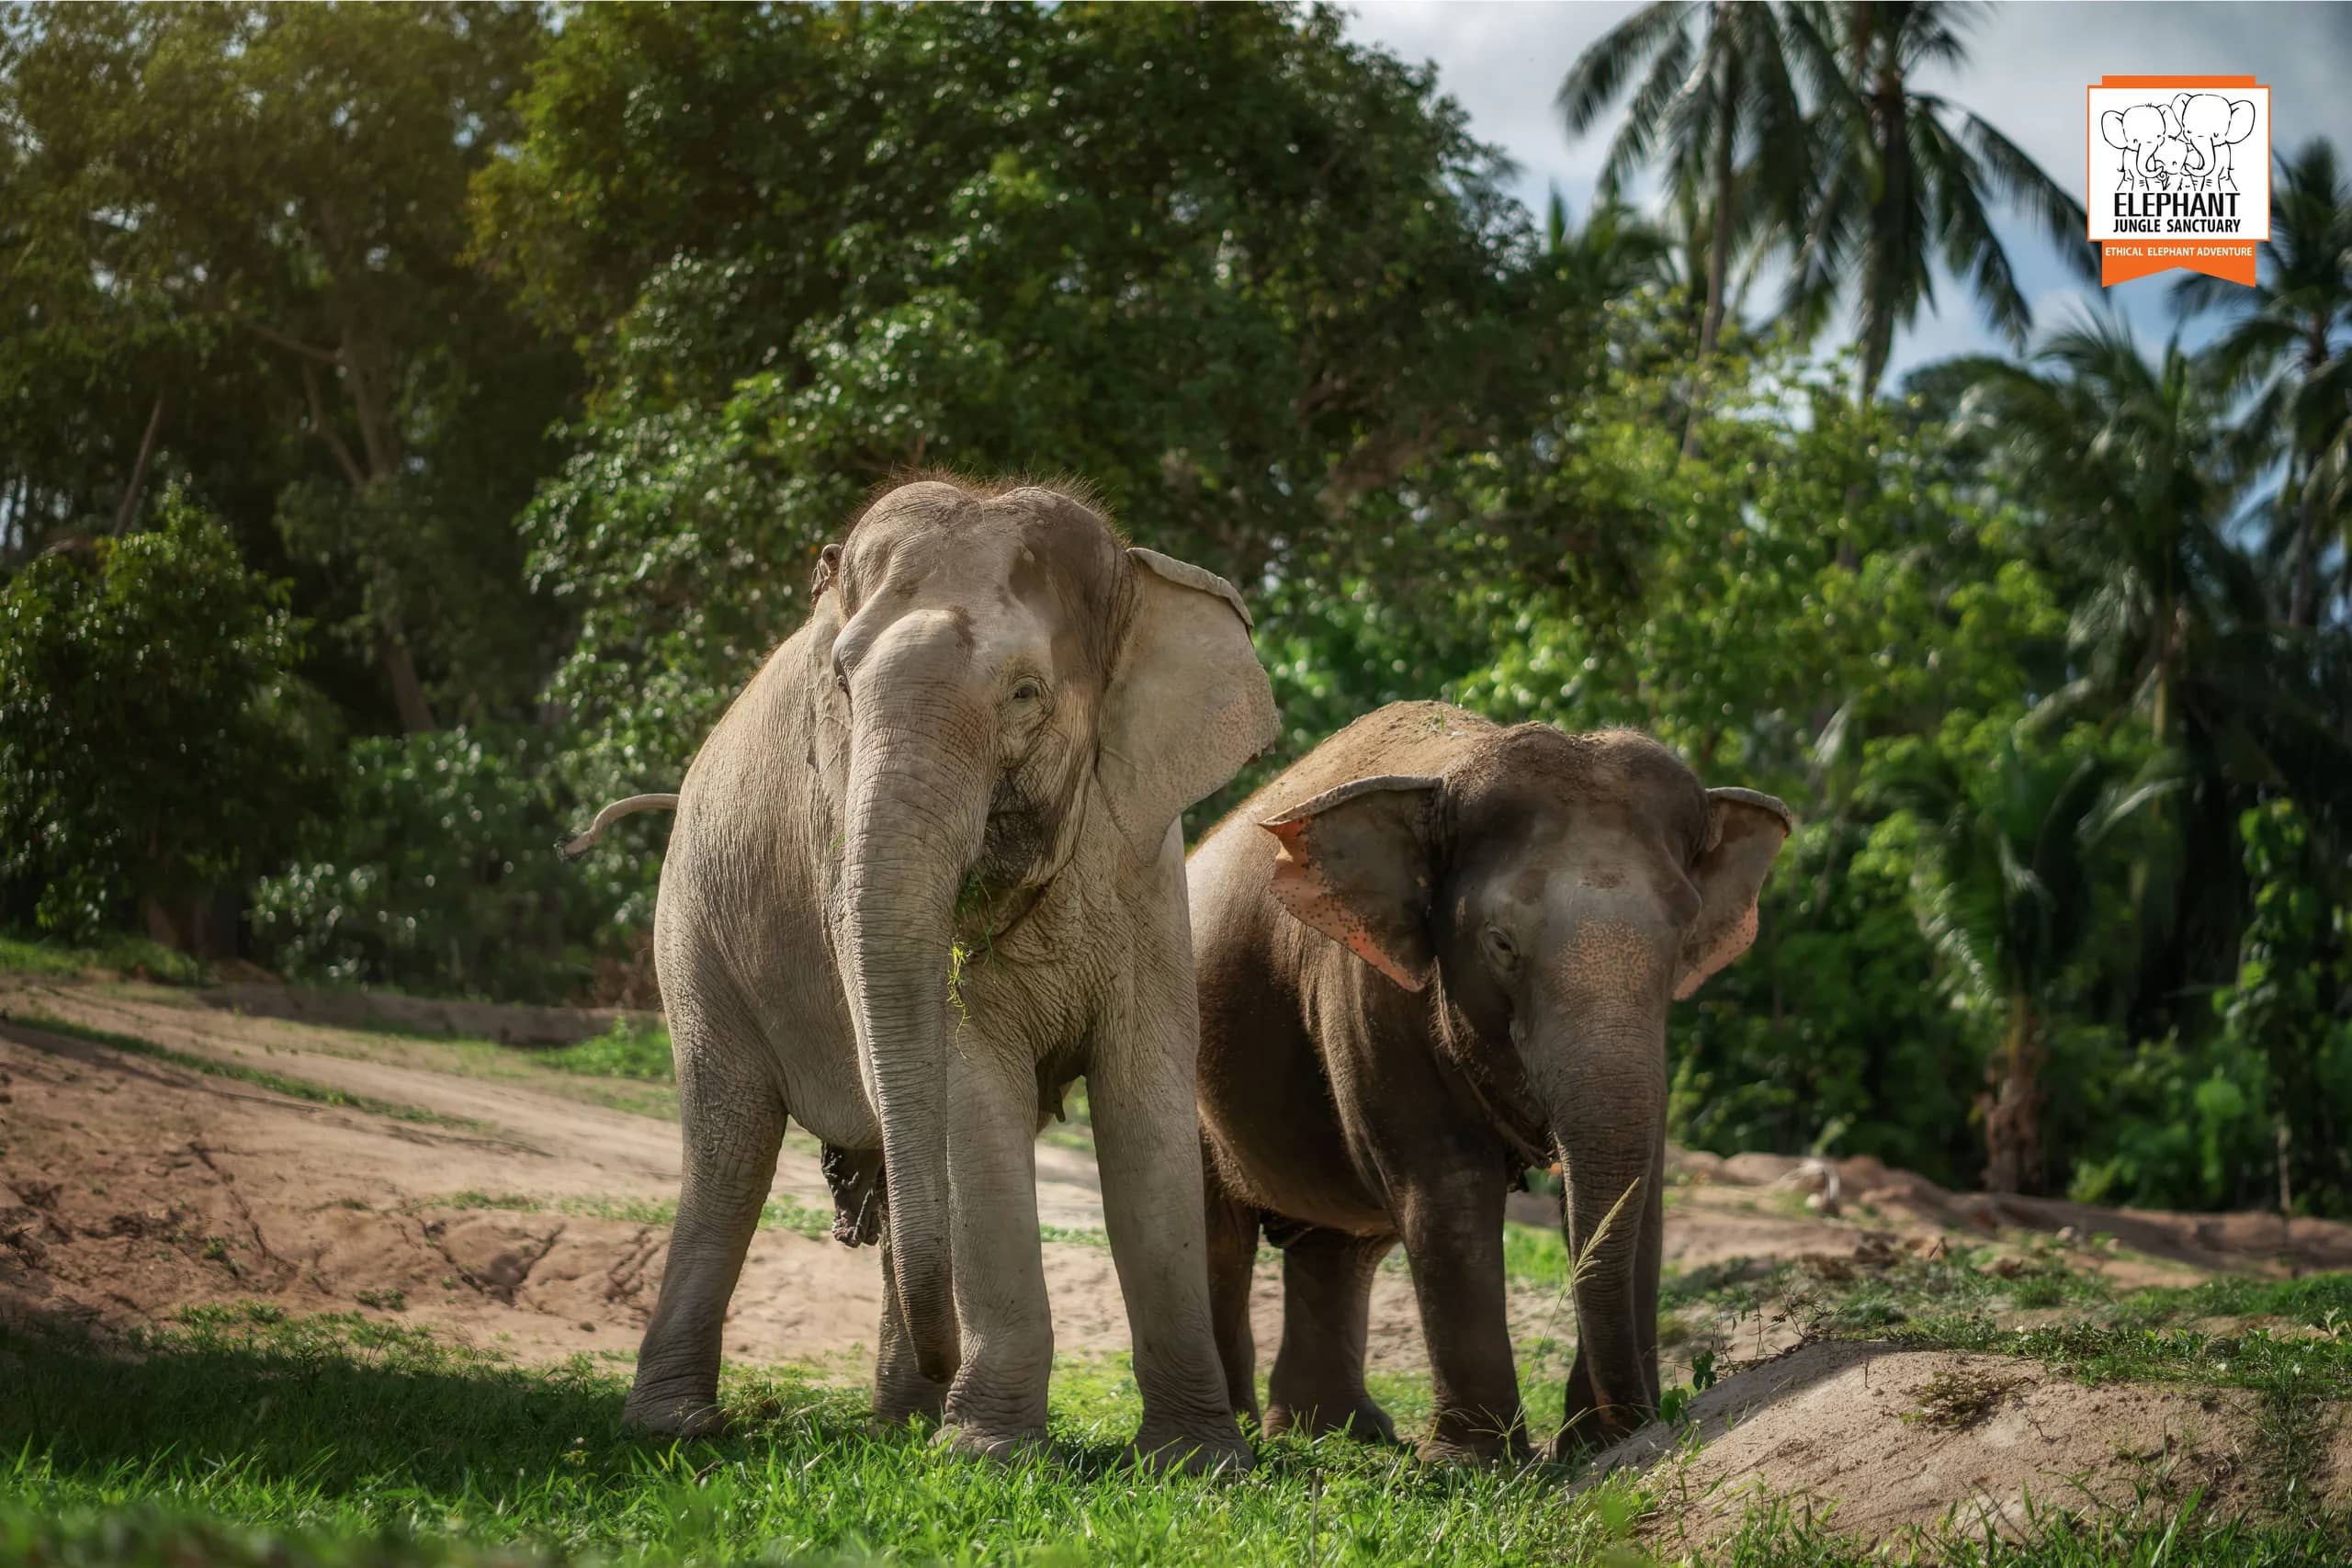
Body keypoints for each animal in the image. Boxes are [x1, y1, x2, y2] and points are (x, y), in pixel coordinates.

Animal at [603, 477, 1276, 1472]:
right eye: (840, 685)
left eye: (1027, 693)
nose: (947, 1352)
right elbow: (973, 1092)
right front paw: (991, 1452)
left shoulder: (1147, 873)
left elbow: (1144, 1101)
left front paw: (1199, 1463)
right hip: (692, 932)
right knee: (732, 1147)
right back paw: (682, 1426)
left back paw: (900, 1418)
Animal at [1189, 703, 1791, 1462]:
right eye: (1501, 944)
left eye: (1683, 940)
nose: (1639, 1422)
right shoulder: (1369, 996)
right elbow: (1448, 1186)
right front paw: (1476, 1464)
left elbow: (1642, 1187)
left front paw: (1595, 1447)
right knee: (1219, 1233)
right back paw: (1250, 1432)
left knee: (1335, 1246)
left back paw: (1338, 1433)